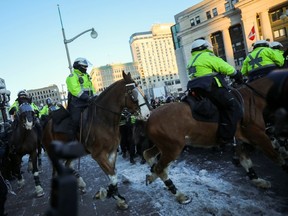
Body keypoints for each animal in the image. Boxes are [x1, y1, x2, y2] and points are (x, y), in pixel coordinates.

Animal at [42, 72, 151, 209]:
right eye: (133, 94)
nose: (147, 114)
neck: (103, 120)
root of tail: (47, 124)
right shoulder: (98, 155)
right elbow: (113, 175)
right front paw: (109, 194)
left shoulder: (112, 152)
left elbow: (112, 174)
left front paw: (114, 195)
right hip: (55, 155)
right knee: (57, 170)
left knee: (67, 166)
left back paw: (81, 184)